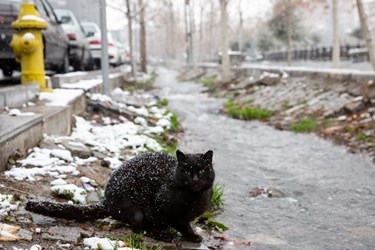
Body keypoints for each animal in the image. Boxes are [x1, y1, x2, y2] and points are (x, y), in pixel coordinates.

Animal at [25, 149, 214, 241]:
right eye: (186, 170)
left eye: (202, 170)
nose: (195, 179)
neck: (193, 198)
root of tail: (107, 201)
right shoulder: (168, 211)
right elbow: (183, 225)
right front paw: (192, 236)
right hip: (139, 206)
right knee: (139, 228)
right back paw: (164, 235)